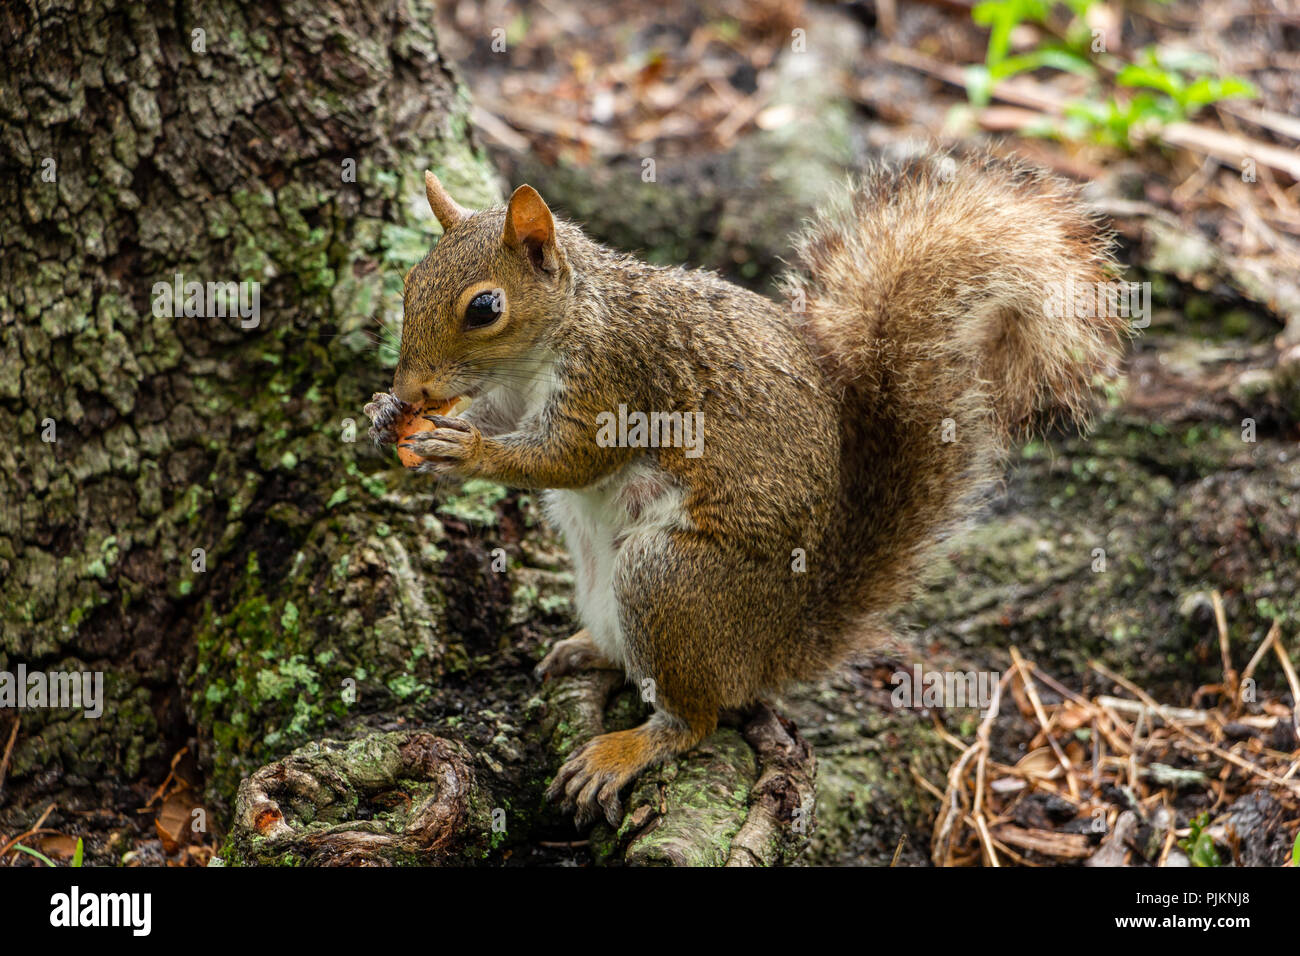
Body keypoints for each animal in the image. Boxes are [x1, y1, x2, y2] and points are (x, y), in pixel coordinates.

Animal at [364, 153, 1128, 827]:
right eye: (407, 283)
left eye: (484, 308)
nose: (412, 389)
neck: (562, 327)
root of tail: (775, 646)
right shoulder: (512, 396)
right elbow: (503, 423)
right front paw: (385, 417)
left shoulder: (616, 377)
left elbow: (571, 458)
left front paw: (462, 448)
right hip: (600, 570)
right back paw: (587, 650)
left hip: (669, 579)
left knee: (697, 717)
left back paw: (625, 750)